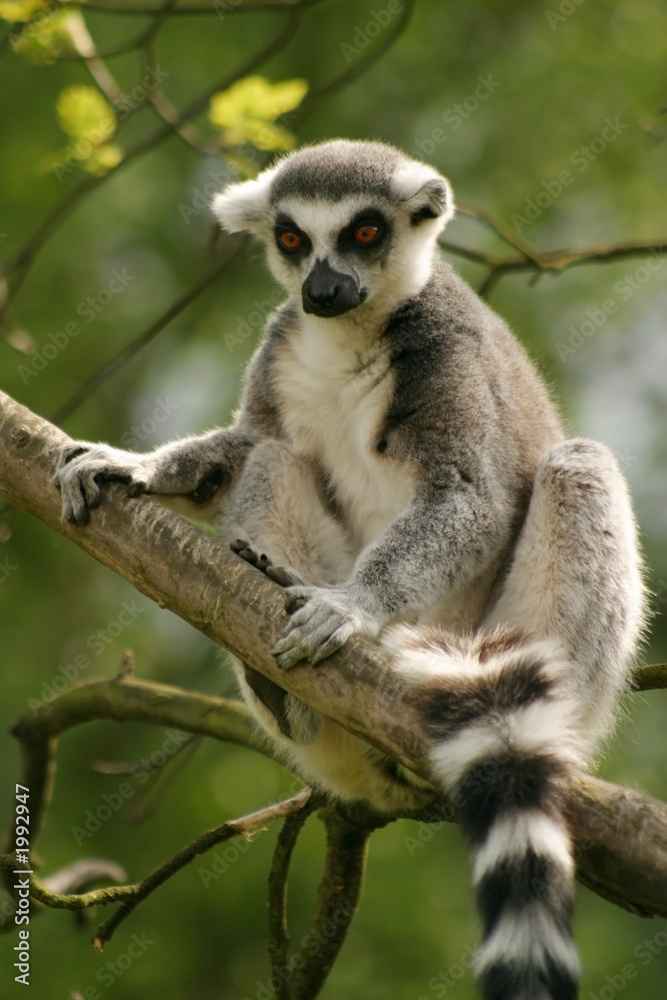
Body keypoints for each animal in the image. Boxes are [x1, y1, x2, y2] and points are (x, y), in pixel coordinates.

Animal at [56, 139, 645, 1000]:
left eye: (364, 232)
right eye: (292, 238)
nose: (321, 289)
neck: (348, 335)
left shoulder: (447, 351)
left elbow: (471, 497)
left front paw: (352, 606)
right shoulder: (282, 345)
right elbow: (247, 444)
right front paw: (136, 468)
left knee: (576, 465)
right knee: (275, 456)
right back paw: (281, 686)